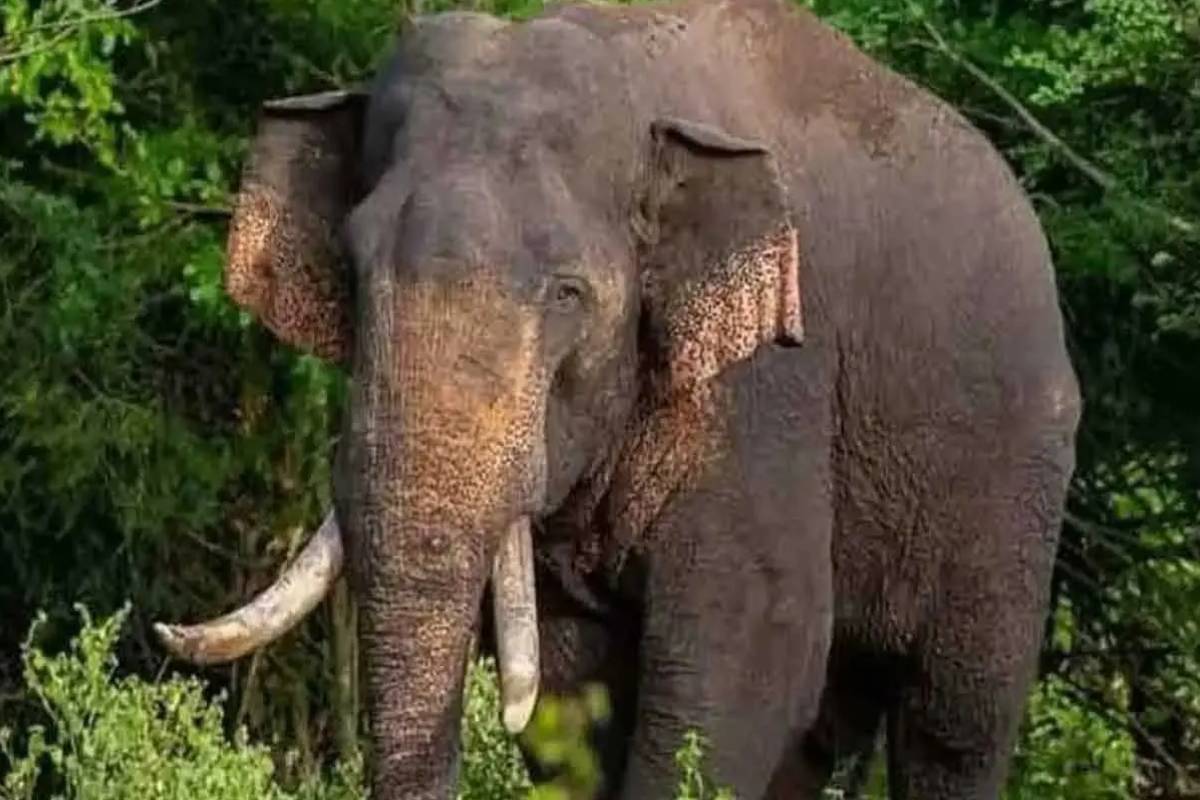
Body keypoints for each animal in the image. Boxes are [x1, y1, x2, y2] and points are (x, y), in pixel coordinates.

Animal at [153, 0, 1082, 798]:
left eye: (568, 294)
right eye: (350, 271)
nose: (161, 632)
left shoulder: (773, 385)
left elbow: (755, 642)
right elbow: (574, 680)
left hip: (1014, 483)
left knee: (953, 725)